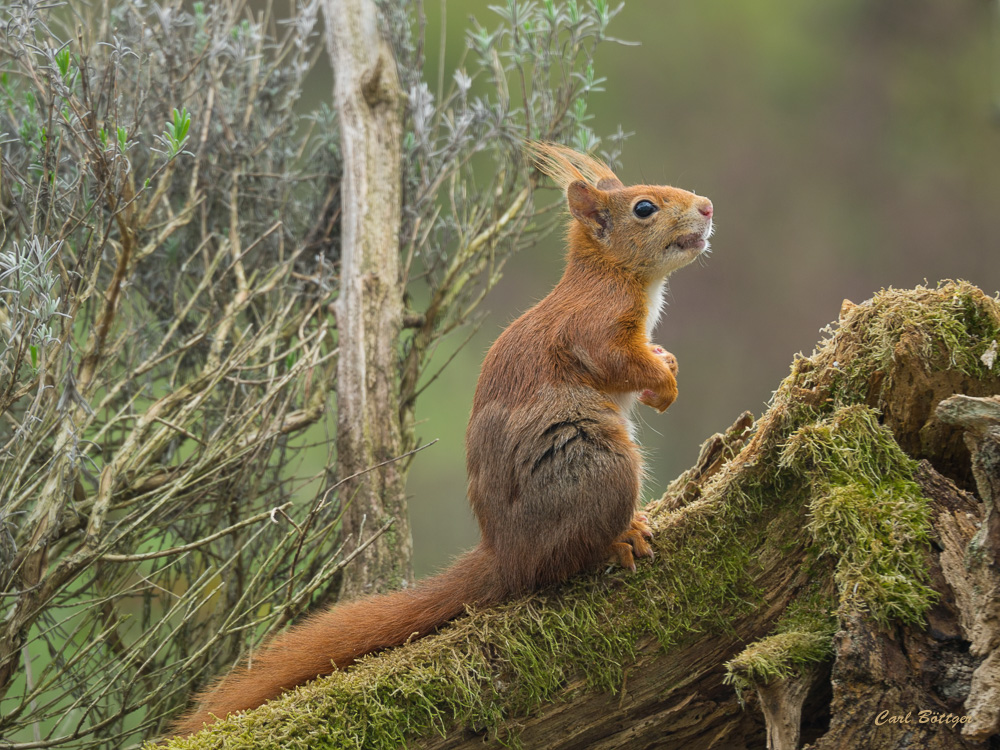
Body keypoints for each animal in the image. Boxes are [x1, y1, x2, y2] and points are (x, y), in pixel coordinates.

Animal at [172, 144, 716, 736]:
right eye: (644, 208)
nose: (708, 207)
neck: (614, 275)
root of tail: (506, 554)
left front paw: (667, 364)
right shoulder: (593, 326)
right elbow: (618, 361)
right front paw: (663, 382)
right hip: (598, 462)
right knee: (561, 564)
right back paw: (617, 540)